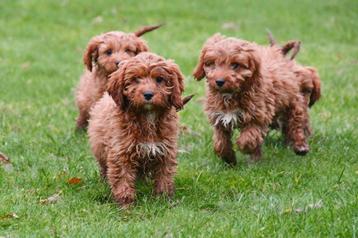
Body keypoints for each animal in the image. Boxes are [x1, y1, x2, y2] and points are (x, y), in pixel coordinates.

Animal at [88, 52, 186, 206]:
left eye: (159, 79)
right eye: (136, 79)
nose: (148, 94)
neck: (147, 116)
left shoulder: (166, 150)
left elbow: (164, 176)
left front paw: (162, 199)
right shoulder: (121, 151)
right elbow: (122, 178)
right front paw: (126, 204)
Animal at [193, 33, 314, 165]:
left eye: (235, 65)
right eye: (212, 63)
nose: (219, 81)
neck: (231, 95)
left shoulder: (258, 116)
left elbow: (248, 138)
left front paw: (243, 147)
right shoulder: (219, 117)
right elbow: (220, 142)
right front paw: (229, 158)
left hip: (293, 101)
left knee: (296, 124)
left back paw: (300, 146)